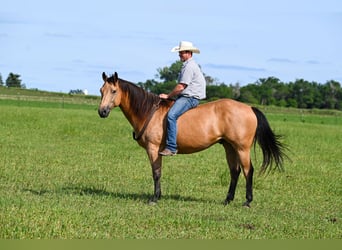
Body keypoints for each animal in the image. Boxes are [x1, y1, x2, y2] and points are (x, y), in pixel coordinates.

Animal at [97, 71, 286, 206]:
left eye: (114, 91)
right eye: (101, 91)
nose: (102, 112)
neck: (149, 112)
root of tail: (249, 108)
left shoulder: (153, 149)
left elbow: (156, 173)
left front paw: (155, 198)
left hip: (242, 148)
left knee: (248, 171)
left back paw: (247, 201)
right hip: (229, 147)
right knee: (235, 171)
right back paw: (227, 200)